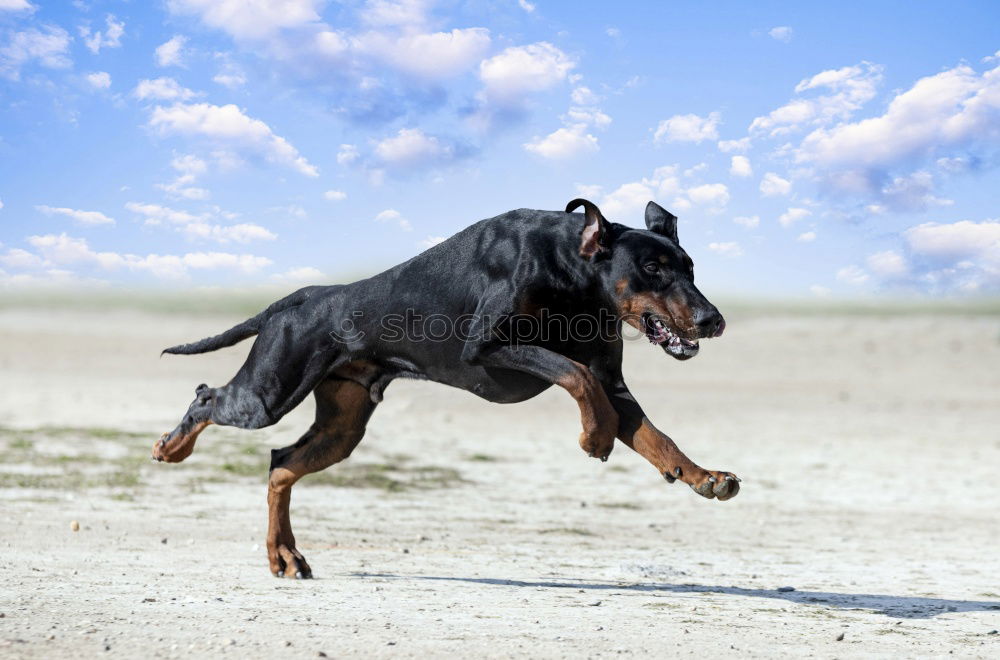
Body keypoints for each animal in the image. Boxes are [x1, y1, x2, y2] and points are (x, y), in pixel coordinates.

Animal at [154, 200, 736, 576]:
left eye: (690, 266)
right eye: (652, 267)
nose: (713, 320)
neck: (571, 269)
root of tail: (298, 298)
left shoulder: (614, 382)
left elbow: (653, 434)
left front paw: (703, 476)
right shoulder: (488, 348)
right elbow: (576, 375)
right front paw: (595, 436)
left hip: (341, 427)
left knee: (280, 464)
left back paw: (285, 555)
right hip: (269, 393)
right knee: (207, 396)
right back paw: (172, 447)